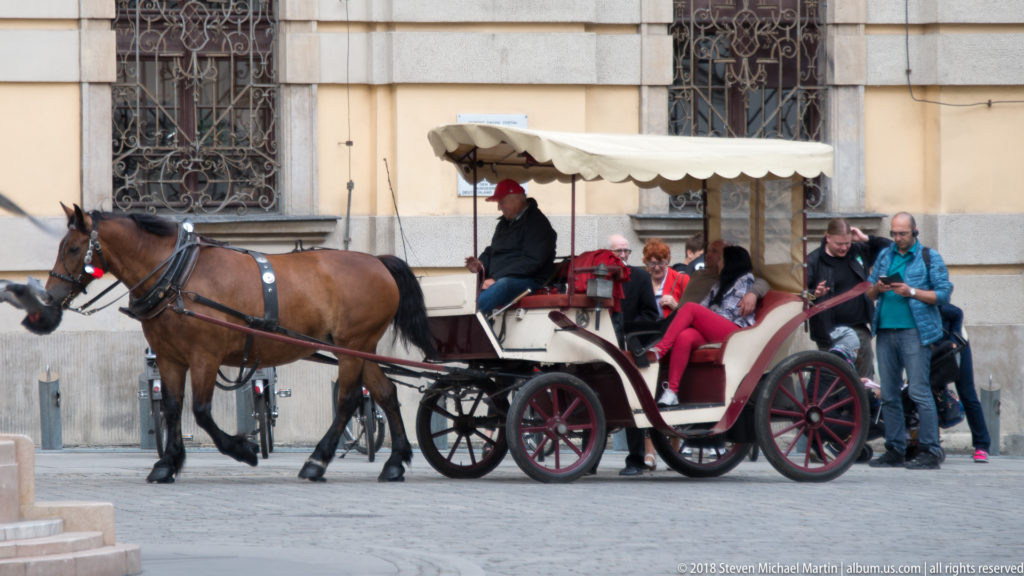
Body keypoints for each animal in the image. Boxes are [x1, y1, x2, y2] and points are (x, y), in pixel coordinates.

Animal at [29, 204, 436, 483]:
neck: (178, 276)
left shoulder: (204, 357)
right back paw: (395, 462)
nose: (47, 300)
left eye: (72, 248)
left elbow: (202, 412)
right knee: (385, 394)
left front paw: (243, 449)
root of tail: (378, 262)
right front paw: (166, 463)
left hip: (353, 346)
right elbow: (173, 408)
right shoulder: (170, 358)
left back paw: (317, 461)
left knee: (349, 400)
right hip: (358, 347)